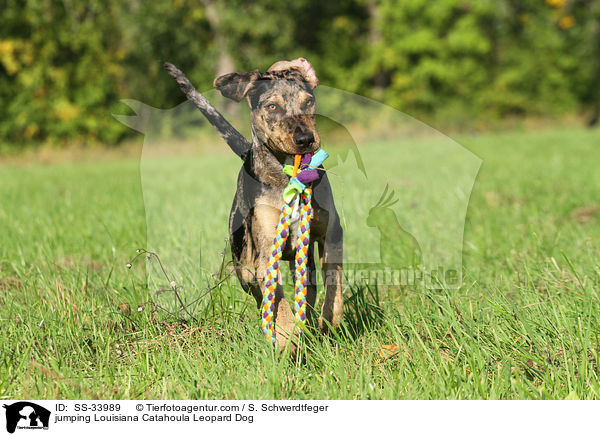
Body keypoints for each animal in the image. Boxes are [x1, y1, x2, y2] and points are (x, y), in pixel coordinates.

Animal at [164, 58, 344, 350]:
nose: (305, 139)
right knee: (259, 292)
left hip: (301, 258)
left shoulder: (332, 233)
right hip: (243, 260)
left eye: (308, 101)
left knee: (308, 288)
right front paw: (285, 338)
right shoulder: (267, 250)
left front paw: (329, 321)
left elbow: (333, 281)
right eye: (272, 107)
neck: (288, 174)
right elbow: (278, 301)